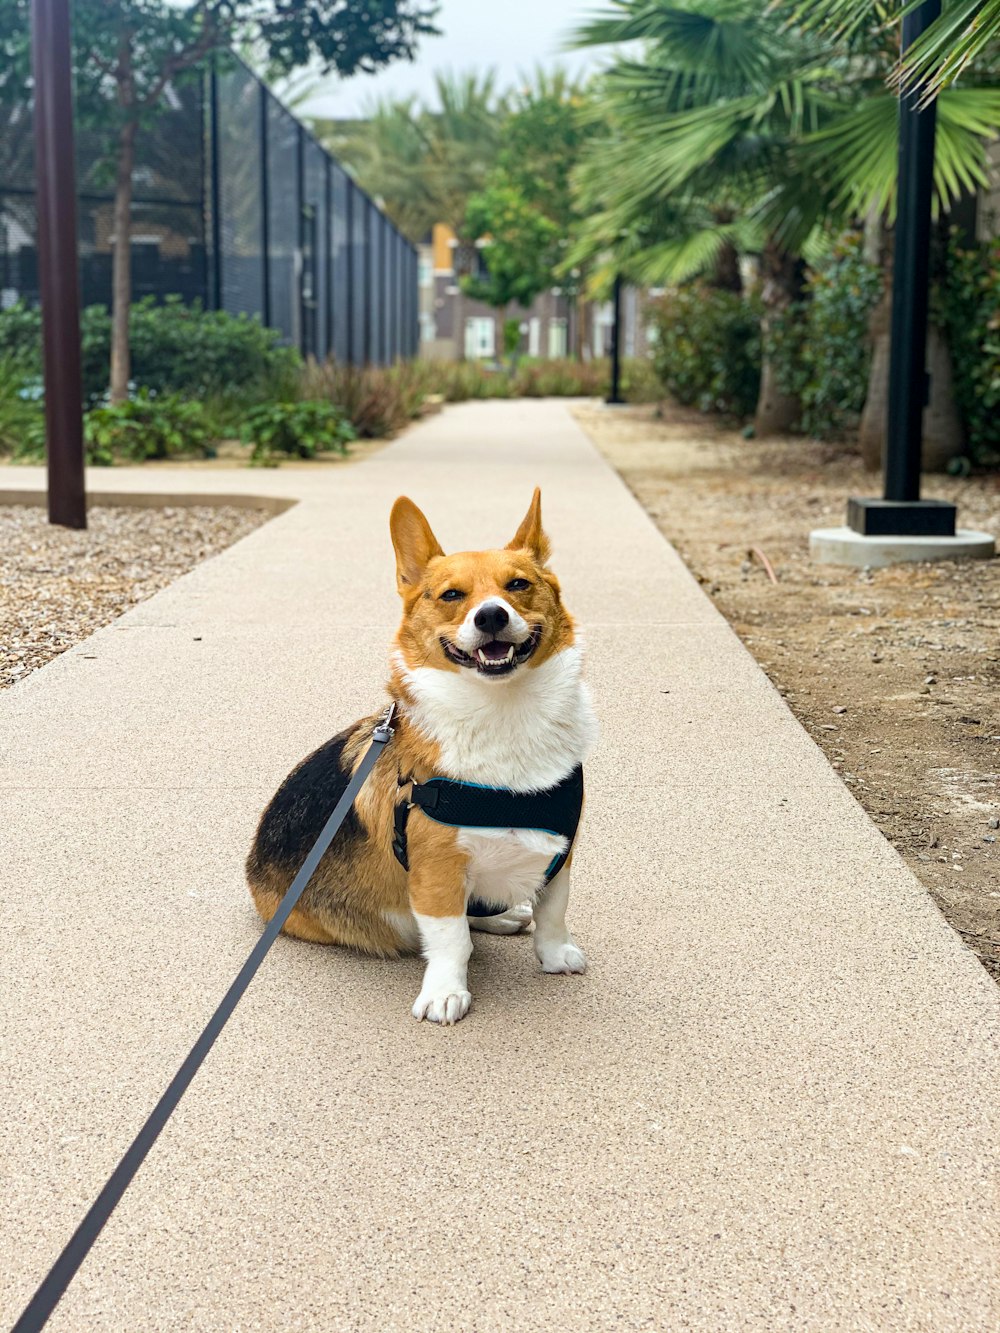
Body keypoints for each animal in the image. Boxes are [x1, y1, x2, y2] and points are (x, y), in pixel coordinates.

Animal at [248, 495, 600, 1023]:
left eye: (518, 585)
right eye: (451, 595)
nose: (490, 617)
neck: (502, 711)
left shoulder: (561, 848)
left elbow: (553, 911)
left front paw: (556, 955)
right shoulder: (436, 872)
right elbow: (452, 940)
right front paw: (445, 993)